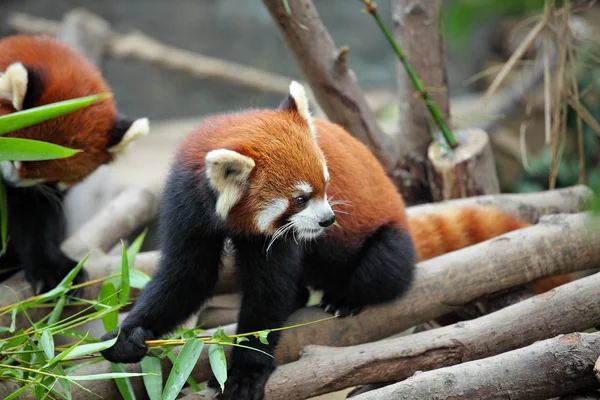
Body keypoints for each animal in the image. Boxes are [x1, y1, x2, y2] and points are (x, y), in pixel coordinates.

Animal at [99, 79, 564, 398]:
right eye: (301, 198)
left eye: (326, 185)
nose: (328, 220)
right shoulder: (188, 206)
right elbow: (188, 276)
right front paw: (130, 335)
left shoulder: (277, 239)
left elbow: (268, 293)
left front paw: (247, 371)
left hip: (391, 242)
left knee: (382, 270)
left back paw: (345, 298)